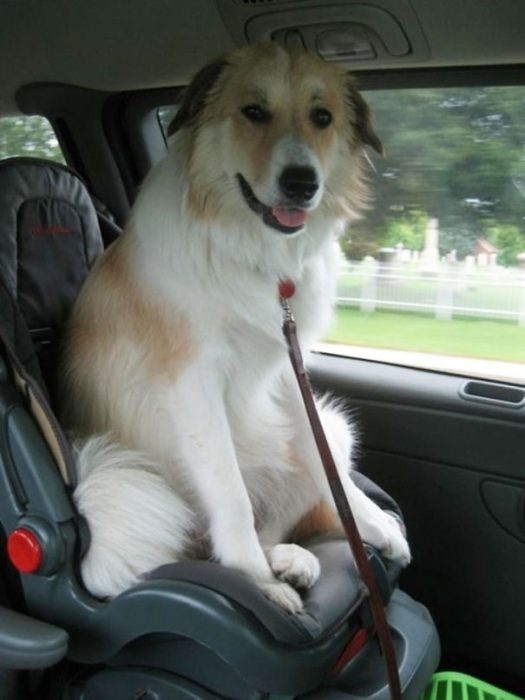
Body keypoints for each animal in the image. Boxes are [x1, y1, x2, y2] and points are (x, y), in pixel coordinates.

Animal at [61, 45, 412, 612]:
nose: (302, 182)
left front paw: (372, 524)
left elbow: (326, 469)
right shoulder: (193, 383)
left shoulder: (288, 368)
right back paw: (265, 574)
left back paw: (288, 559)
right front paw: (252, 579)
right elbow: (229, 493)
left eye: (322, 117)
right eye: (253, 112)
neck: (256, 255)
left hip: (332, 429)